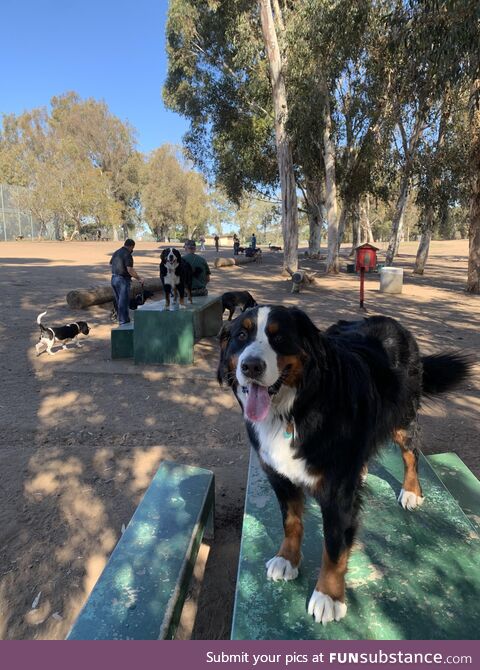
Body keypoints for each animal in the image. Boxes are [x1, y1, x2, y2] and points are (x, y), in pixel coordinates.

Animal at [218, 310, 472, 632]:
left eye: (280, 337)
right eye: (241, 335)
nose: (251, 366)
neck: (293, 411)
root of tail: (390, 321)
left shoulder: (337, 493)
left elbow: (334, 547)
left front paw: (328, 596)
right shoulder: (280, 478)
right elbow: (291, 522)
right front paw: (287, 559)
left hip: (402, 419)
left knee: (410, 454)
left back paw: (411, 491)